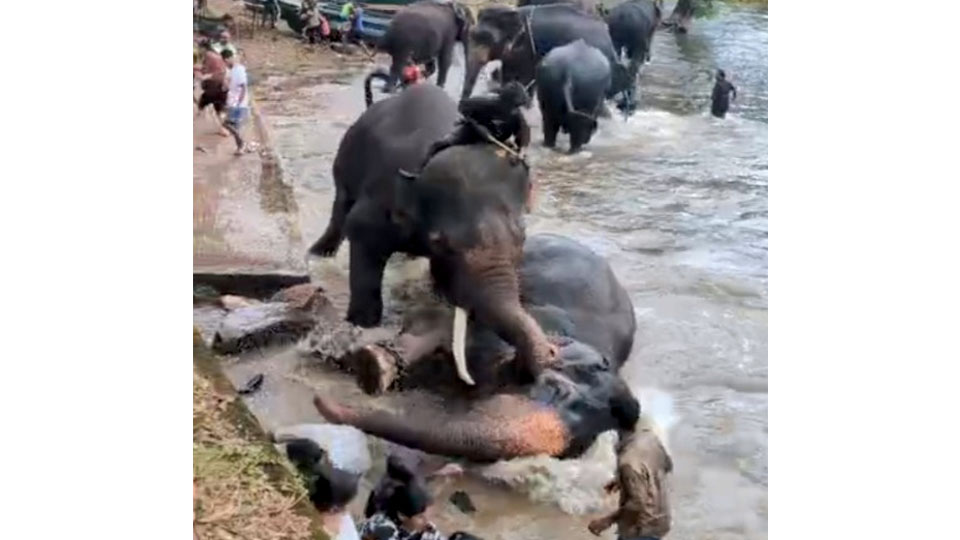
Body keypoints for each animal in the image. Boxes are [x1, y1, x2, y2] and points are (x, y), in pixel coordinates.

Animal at [308, 83, 556, 383]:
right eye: (442, 243)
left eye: (522, 238)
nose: (552, 351)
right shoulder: (379, 204)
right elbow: (360, 233)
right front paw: (361, 325)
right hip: (347, 156)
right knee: (341, 208)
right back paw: (318, 253)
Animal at [461, 4, 632, 102]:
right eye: (472, 35)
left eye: (486, 38)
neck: (514, 13)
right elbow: (509, 70)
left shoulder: (528, 48)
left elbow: (524, 74)